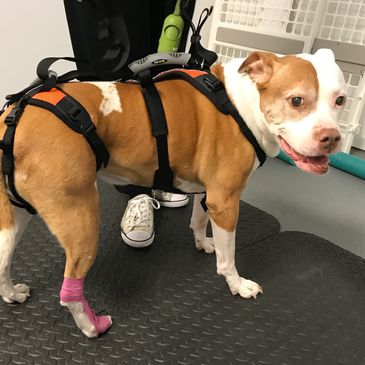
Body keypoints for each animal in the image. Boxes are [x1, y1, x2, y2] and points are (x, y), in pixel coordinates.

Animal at [0, 49, 346, 336]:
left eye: (340, 100)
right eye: (296, 101)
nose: (331, 137)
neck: (242, 103)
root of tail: (14, 119)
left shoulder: (210, 195)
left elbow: (198, 220)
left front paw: (203, 243)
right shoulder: (227, 201)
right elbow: (228, 258)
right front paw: (237, 284)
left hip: (14, 217)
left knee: (2, 260)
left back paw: (12, 294)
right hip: (81, 220)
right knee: (68, 292)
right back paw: (91, 326)